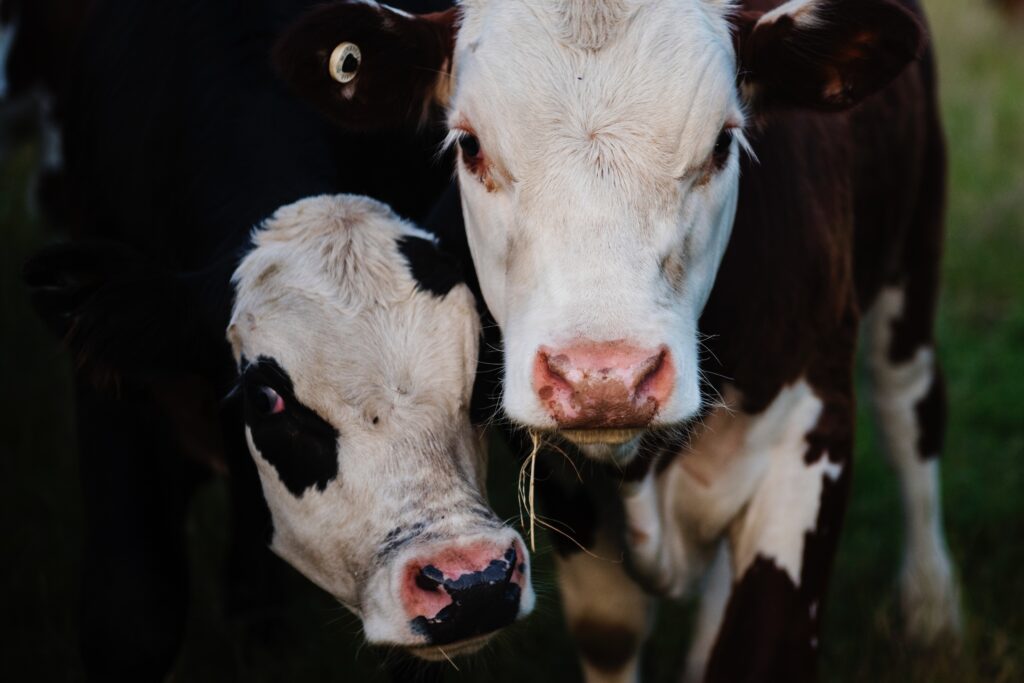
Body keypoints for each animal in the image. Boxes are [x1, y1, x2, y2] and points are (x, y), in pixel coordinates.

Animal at [274, 2, 958, 679]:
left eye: (723, 143)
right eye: (469, 145)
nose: (603, 379)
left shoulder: (812, 433)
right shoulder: (563, 483)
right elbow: (612, 629)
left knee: (908, 405)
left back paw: (930, 605)